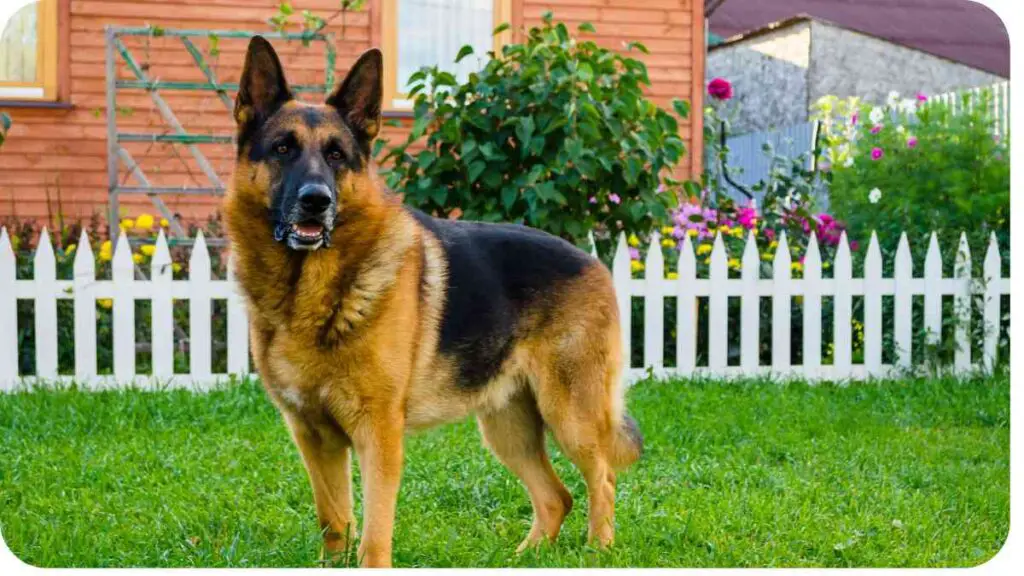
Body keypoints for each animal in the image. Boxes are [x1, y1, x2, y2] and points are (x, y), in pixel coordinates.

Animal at [226, 38, 638, 565]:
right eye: (282, 148)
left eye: (337, 155)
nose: (317, 200)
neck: (312, 293)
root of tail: (593, 261)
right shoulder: (314, 437)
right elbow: (334, 522)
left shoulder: (379, 436)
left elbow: (374, 534)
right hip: (508, 426)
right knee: (556, 497)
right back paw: (522, 556)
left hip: (570, 414)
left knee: (602, 478)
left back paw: (598, 550)